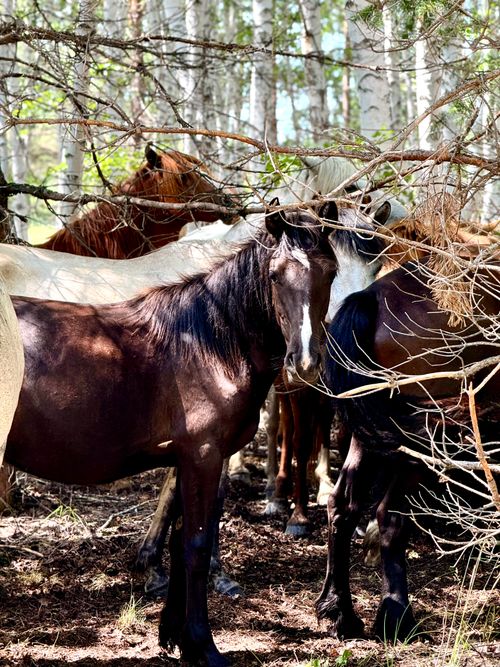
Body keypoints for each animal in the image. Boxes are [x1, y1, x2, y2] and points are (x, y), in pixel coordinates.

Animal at [5, 202, 339, 666]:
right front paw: (204, 645)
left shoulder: (189, 459)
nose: (305, 362)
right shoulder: (203, 455)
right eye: (275, 275)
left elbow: (181, 542)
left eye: (331, 272)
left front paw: (175, 636)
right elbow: (196, 545)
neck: (208, 342)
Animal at [316, 259, 500, 642]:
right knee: (391, 516)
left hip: (371, 430)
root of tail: (372, 297)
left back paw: (342, 612)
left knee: (343, 505)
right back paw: (396, 616)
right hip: (423, 436)